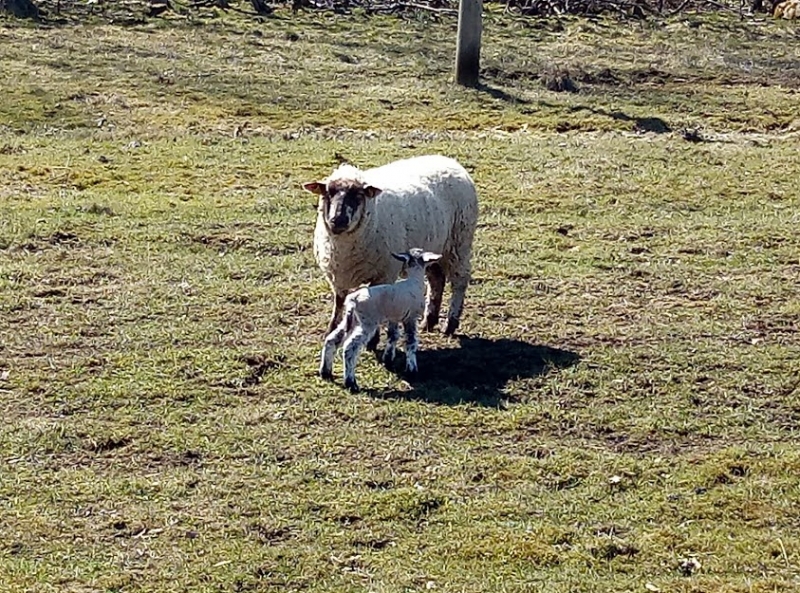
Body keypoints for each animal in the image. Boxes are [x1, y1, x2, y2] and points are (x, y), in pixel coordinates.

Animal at [300, 155, 476, 344]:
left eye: (358, 195)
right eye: (328, 193)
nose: (338, 220)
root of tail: (449, 160)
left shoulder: (384, 273)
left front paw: (373, 339)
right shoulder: (337, 276)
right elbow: (339, 303)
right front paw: (331, 330)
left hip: (459, 243)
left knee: (460, 280)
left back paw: (450, 323)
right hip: (435, 247)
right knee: (437, 279)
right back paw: (429, 322)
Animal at [320, 249, 444, 394]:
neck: (414, 281)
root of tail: (353, 299)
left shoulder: (394, 317)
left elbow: (393, 336)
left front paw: (388, 359)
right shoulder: (411, 318)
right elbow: (411, 342)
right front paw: (412, 370)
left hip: (350, 320)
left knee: (332, 339)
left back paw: (325, 372)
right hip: (367, 322)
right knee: (350, 348)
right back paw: (351, 383)